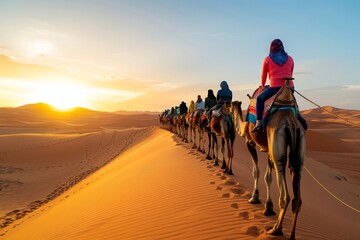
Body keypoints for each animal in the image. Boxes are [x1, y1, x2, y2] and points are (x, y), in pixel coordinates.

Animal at [232, 78, 306, 239]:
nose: (226, 107)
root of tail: (291, 123)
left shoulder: (250, 142)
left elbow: (257, 171)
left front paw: (254, 198)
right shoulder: (267, 148)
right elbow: (268, 176)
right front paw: (268, 207)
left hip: (277, 144)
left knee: (285, 195)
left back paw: (276, 229)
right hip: (299, 149)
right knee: (297, 197)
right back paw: (291, 235)